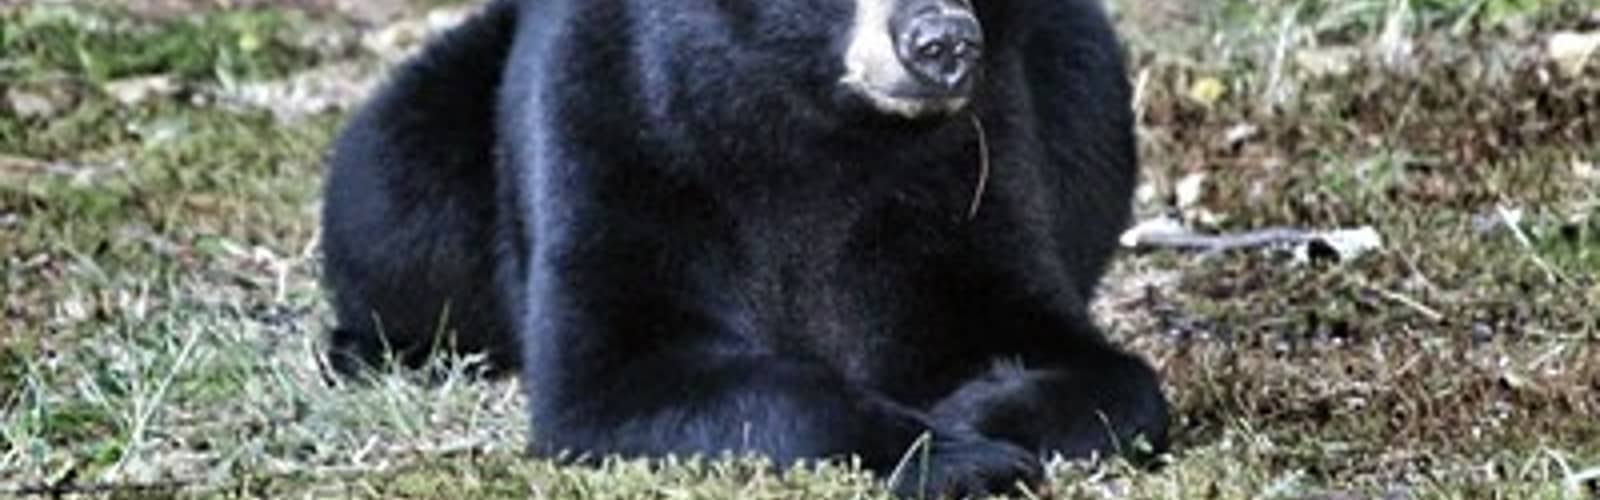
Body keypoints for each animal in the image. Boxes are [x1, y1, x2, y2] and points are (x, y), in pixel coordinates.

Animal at [319, 0, 1169, 496]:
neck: (810, 128)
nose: (942, 43)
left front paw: (986, 405)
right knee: (390, 191)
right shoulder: (620, 126)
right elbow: (617, 372)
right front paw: (953, 452)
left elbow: (1044, 333)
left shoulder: (961, 165)